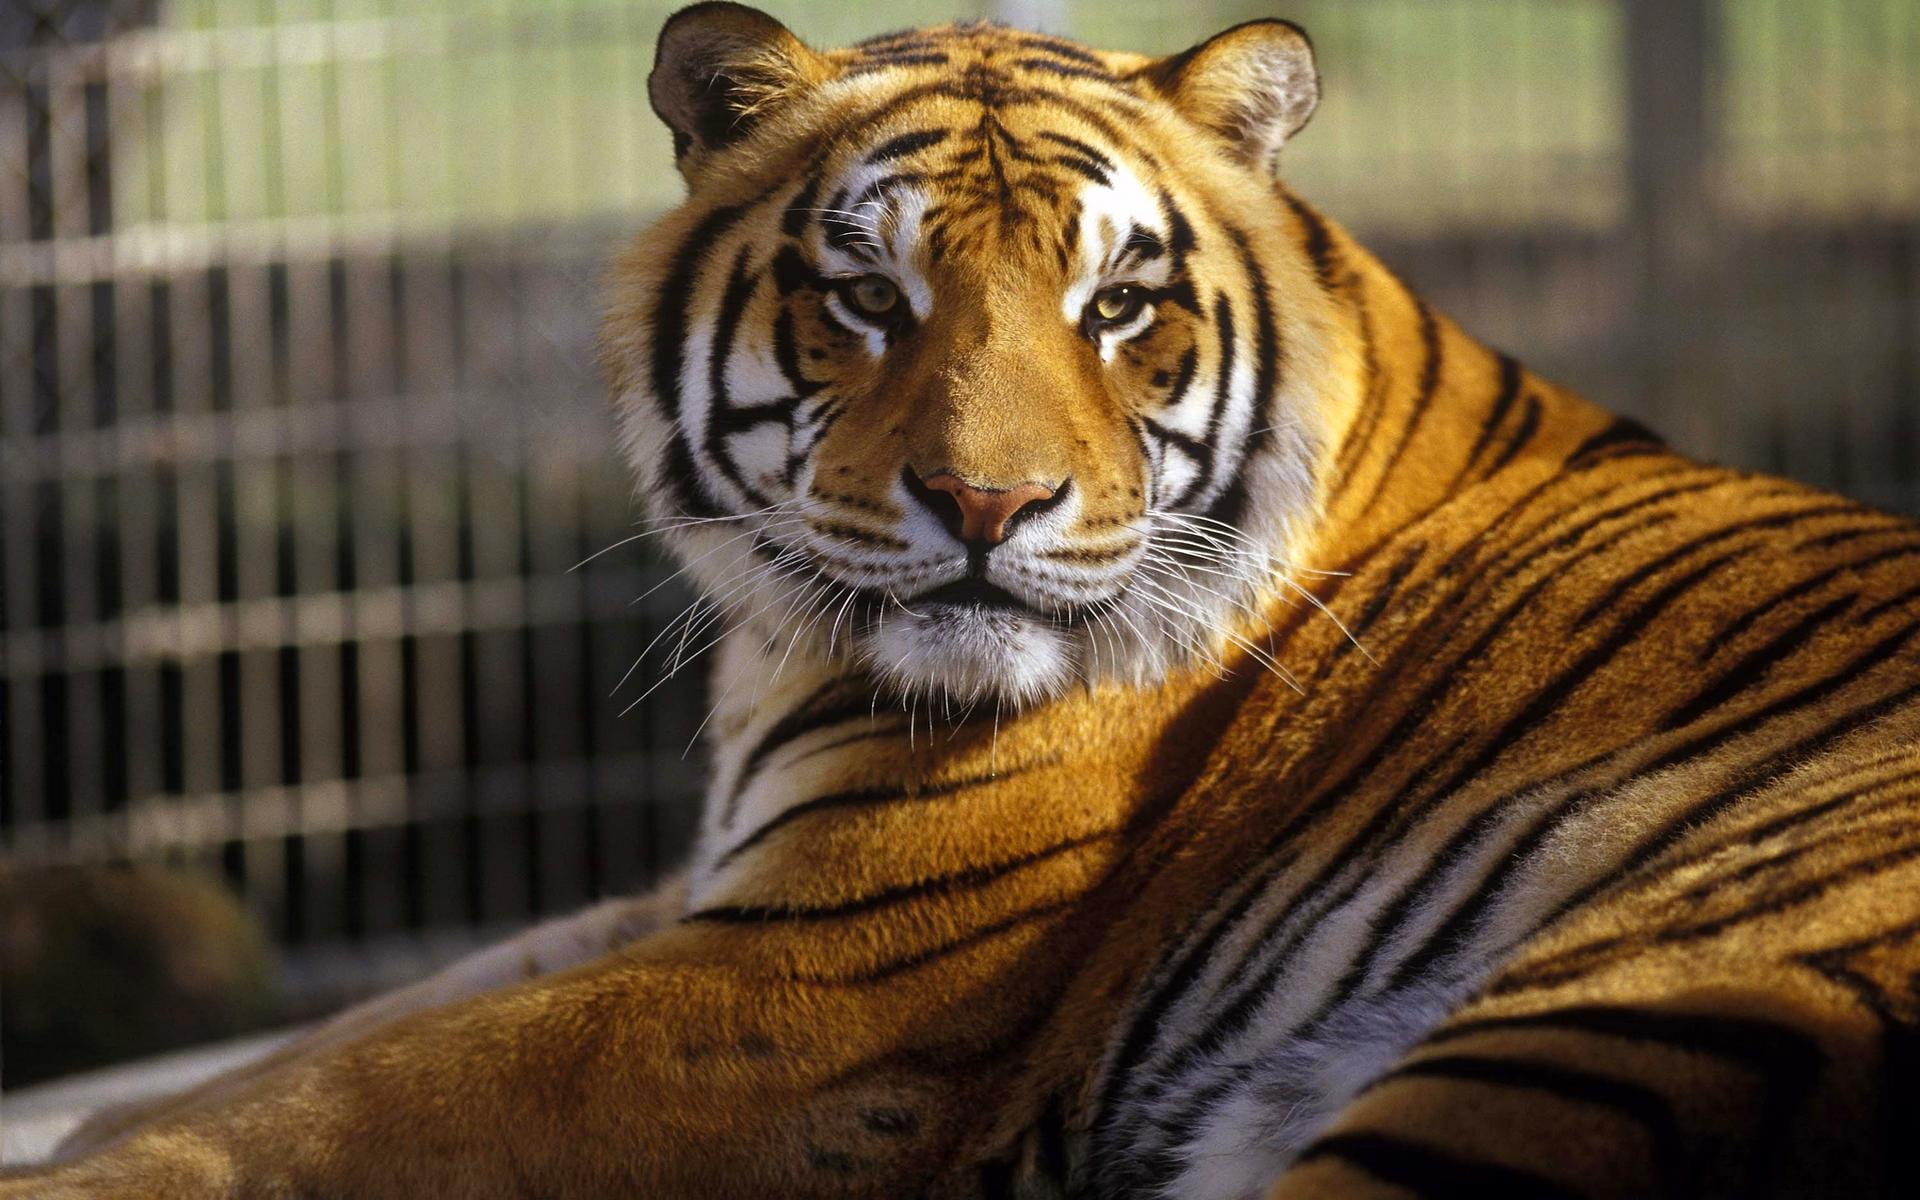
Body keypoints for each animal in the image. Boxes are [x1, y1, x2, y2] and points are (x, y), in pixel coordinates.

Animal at [10, 3, 1920, 1197]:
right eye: (868, 294)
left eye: (1117, 305)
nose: (988, 507)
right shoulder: (710, 890)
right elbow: (298, 1049)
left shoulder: (819, 986)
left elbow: (342, 1097)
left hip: (1598, 1034)